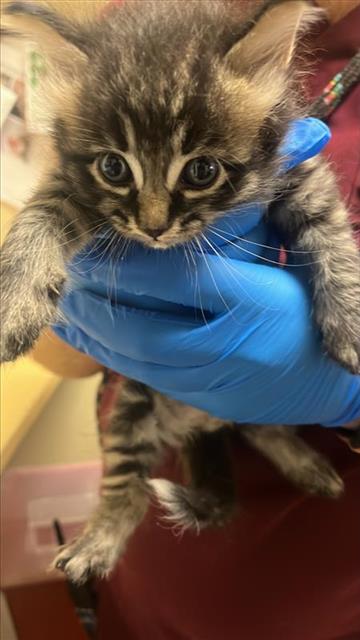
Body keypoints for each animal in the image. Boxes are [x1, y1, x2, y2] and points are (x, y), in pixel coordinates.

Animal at [1, 0, 358, 584]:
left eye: (201, 171)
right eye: (114, 167)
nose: (152, 228)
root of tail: (203, 421)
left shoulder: (299, 172)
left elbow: (332, 232)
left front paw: (350, 321)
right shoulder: (74, 187)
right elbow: (37, 214)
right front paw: (13, 302)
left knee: (263, 426)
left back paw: (305, 462)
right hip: (130, 409)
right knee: (128, 490)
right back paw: (96, 544)